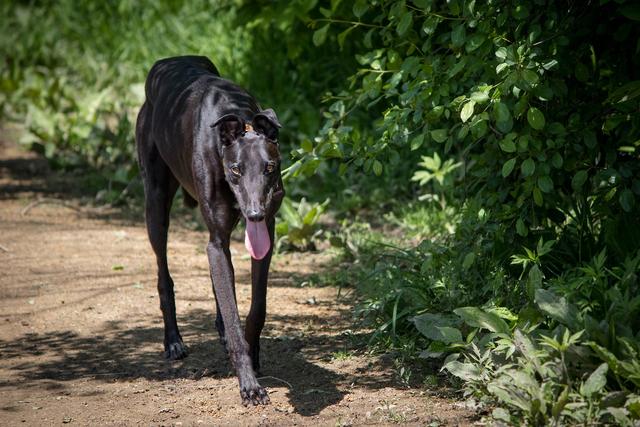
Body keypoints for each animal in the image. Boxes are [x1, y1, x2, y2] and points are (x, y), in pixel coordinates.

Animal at [135, 55, 282, 406]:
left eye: (270, 167)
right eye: (236, 169)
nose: (254, 214)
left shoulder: (265, 234)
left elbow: (254, 307)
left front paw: (252, 352)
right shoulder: (216, 239)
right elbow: (231, 307)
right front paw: (249, 385)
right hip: (156, 206)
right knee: (163, 274)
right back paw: (173, 341)